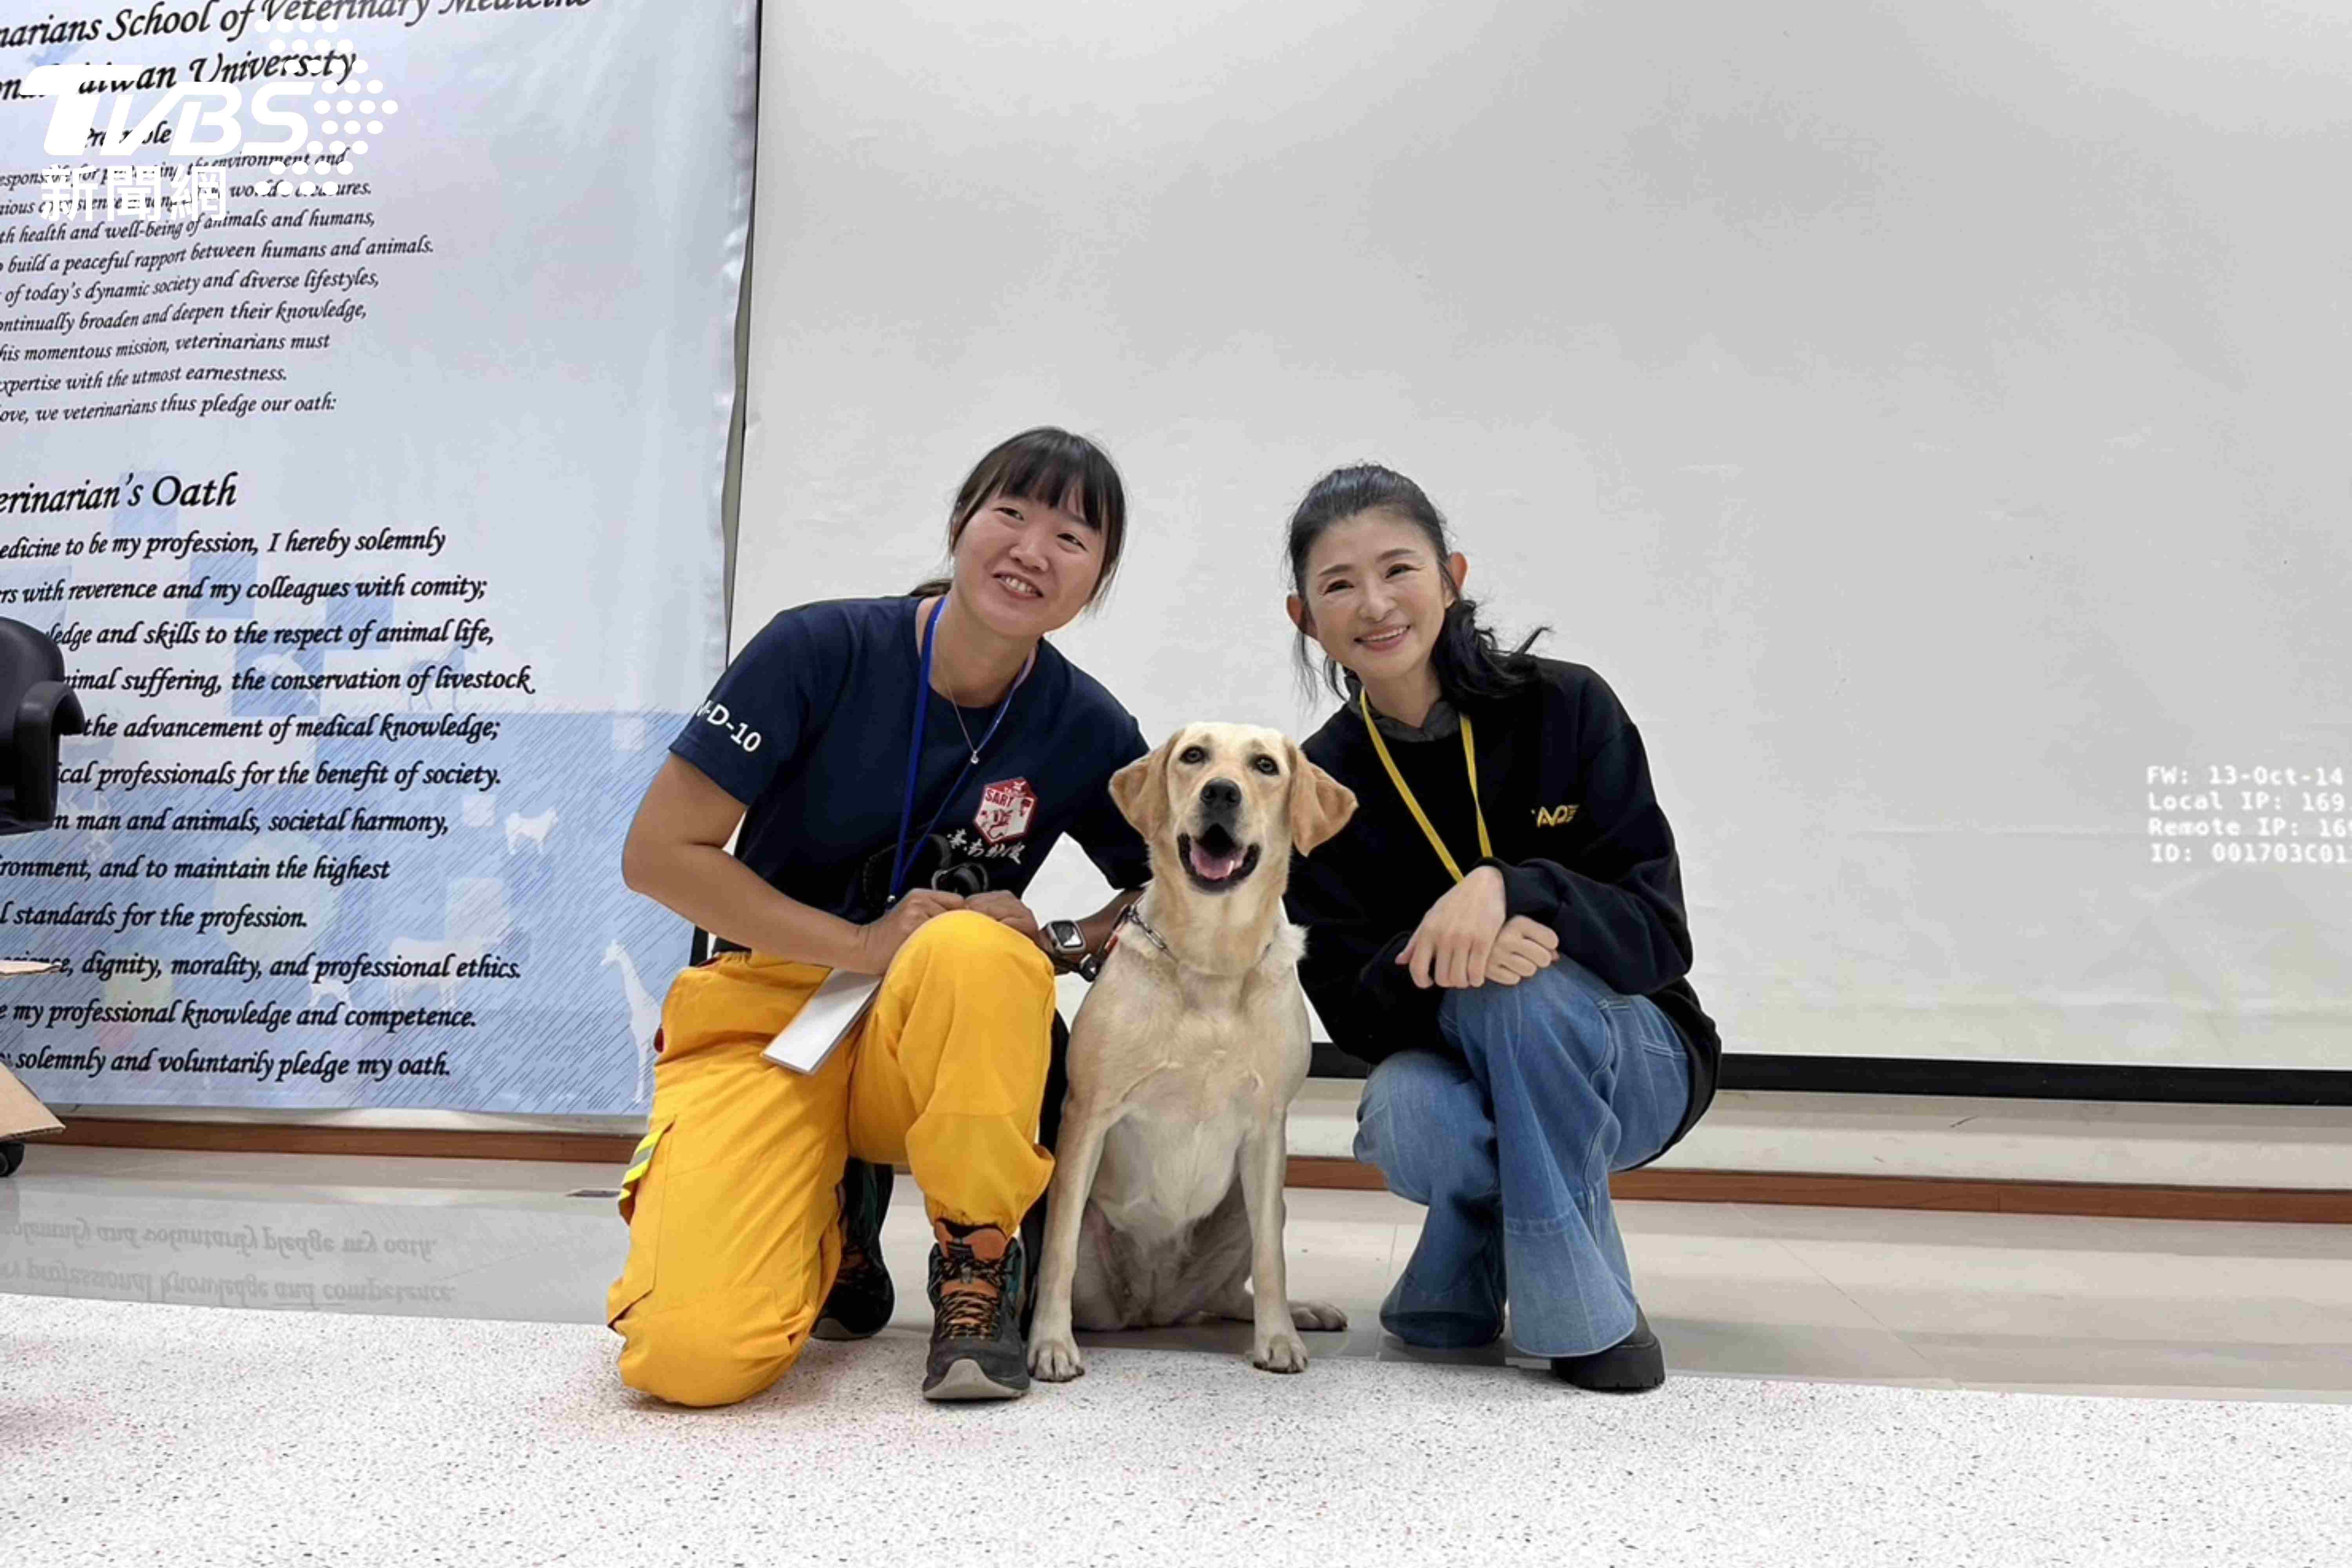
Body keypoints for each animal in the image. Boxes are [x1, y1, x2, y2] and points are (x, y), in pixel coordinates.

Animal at [1030, 719, 1364, 1382]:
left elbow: (1272, 1261)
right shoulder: (1089, 1115)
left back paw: (1301, 1313)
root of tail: (1153, 1310)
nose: (1221, 793)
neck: (1212, 960)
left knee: (1234, 1291)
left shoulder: (1267, 1126)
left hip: (1255, 1203)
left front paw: (1278, 1339)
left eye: (1265, 766)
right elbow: (1056, 1252)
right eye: (1193, 756)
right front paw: (1050, 1343)